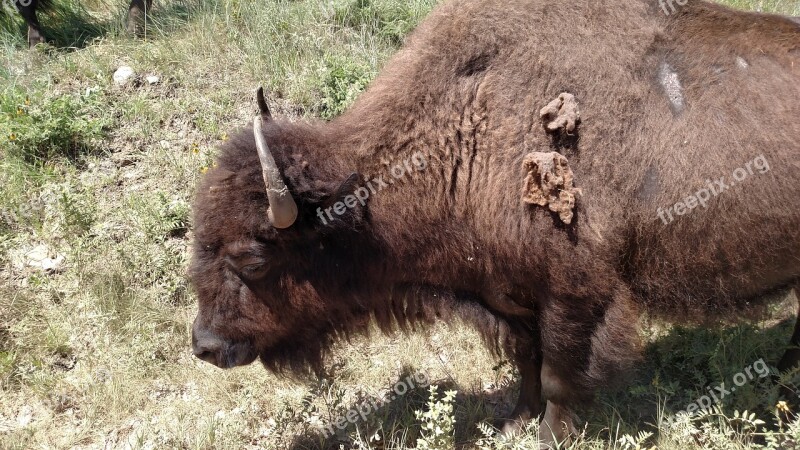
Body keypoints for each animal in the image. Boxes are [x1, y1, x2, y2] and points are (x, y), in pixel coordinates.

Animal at [189, 0, 800, 444]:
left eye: (253, 257)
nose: (205, 345)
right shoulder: (510, 294)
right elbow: (527, 362)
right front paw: (510, 422)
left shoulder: (574, 292)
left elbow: (558, 372)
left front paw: (549, 436)